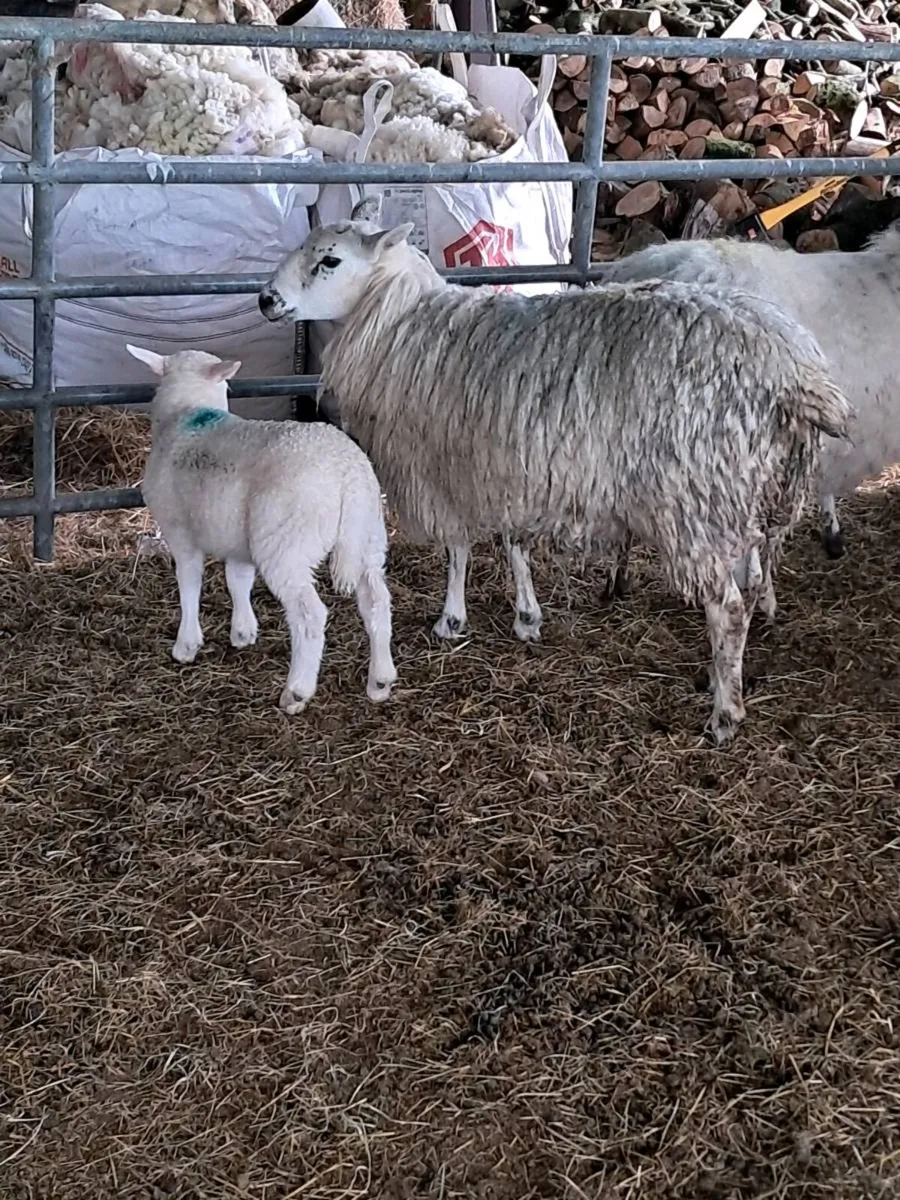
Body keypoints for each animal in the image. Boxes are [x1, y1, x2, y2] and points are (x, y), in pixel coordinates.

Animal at [128, 343, 397, 714]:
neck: (188, 415)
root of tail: (347, 474)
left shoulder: (179, 530)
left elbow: (189, 582)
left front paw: (187, 644)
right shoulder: (239, 539)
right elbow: (238, 580)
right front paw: (243, 632)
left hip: (288, 542)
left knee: (310, 616)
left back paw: (297, 692)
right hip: (368, 536)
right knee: (376, 601)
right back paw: (380, 680)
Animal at [258, 200, 852, 744]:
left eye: (330, 259)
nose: (266, 299)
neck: (404, 326)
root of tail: (795, 373)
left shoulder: (443, 468)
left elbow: (457, 549)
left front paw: (451, 620)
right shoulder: (505, 469)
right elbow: (513, 545)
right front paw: (526, 616)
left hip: (694, 500)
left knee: (727, 608)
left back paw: (724, 715)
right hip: (744, 490)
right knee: (752, 578)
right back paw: (722, 670)